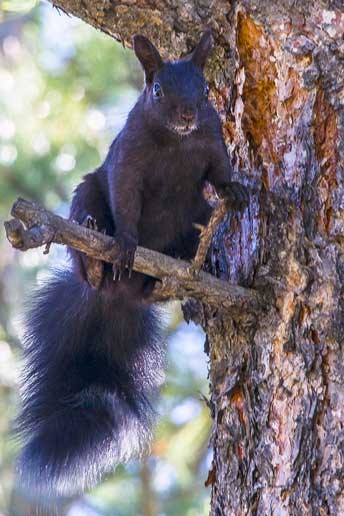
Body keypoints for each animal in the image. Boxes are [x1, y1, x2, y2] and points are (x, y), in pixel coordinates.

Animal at [16, 29, 249, 496]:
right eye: (157, 90)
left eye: (205, 89)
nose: (187, 114)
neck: (177, 141)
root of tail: (116, 296)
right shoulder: (127, 163)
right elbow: (125, 200)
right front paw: (124, 241)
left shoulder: (213, 146)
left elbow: (219, 175)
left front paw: (234, 190)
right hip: (86, 193)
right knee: (88, 239)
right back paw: (95, 257)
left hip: (196, 218)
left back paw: (180, 266)